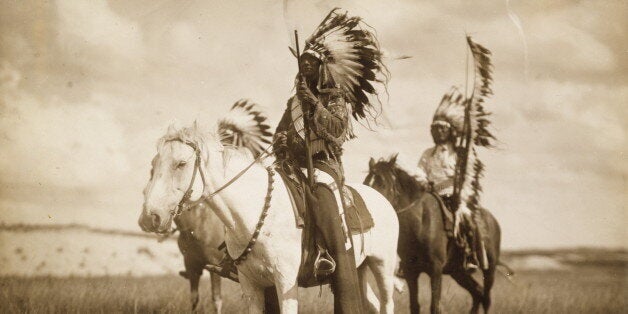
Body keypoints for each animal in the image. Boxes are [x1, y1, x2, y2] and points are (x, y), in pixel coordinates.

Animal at [140, 117, 400, 312]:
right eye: (153, 164)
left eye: (181, 164)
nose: (149, 218)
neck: (253, 215)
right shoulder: (252, 285)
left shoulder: (285, 282)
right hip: (360, 268)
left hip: (382, 266)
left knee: (386, 303)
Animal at [364, 155, 500, 314]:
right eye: (366, 182)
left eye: (382, 183)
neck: (421, 223)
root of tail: (492, 221)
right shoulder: (411, 272)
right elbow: (414, 306)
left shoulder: (435, 270)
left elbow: (435, 307)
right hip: (458, 272)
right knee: (477, 293)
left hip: (489, 270)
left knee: (486, 298)